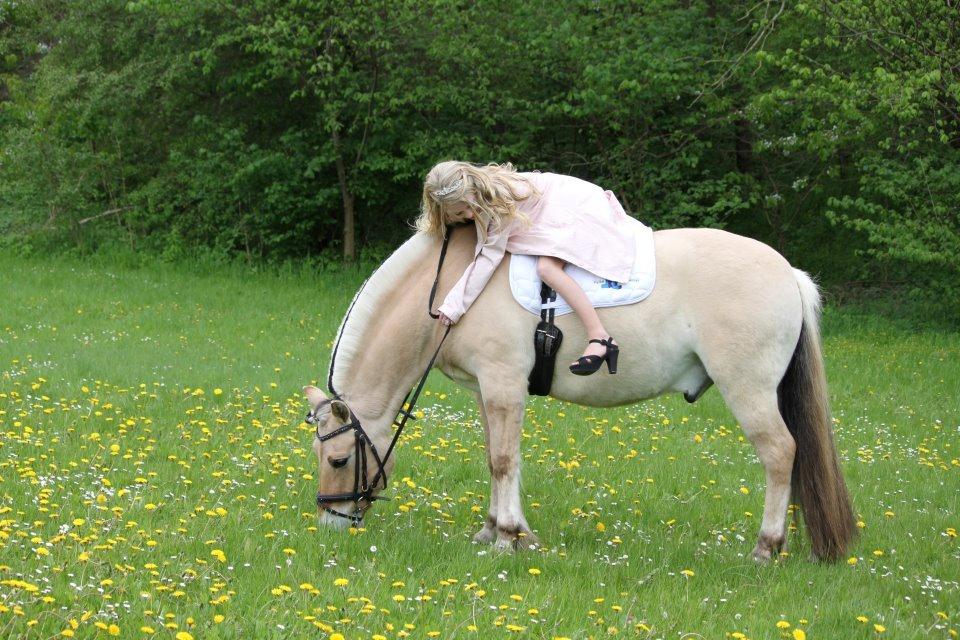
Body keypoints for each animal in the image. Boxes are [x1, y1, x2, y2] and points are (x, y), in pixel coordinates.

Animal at [302, 224, 856, 560]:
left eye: (337, 460)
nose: (331, 521)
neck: (459, 282)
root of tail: (788, 273)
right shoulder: (487, 390)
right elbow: (495, 456)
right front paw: (498, 529)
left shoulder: (503, 382)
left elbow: (503, 459)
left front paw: (506, 537)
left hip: (749, 391)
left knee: (780, 453)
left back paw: (767, 546)